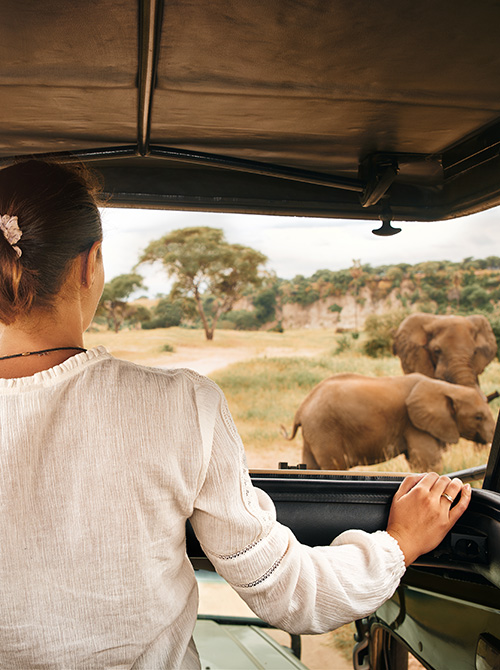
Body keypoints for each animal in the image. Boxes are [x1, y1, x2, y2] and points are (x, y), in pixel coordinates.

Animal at [283, 373, 495, 471]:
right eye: (478, 417)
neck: (447, 388)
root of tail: (302, 408)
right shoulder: (414, 424)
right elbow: (428, 463)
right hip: (325, 430)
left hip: (314, 433)